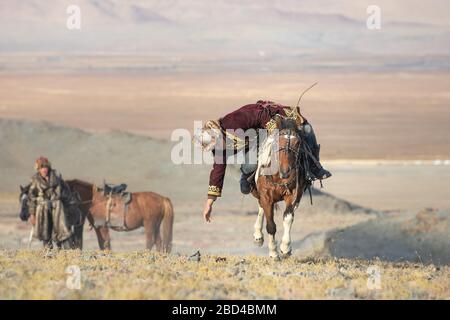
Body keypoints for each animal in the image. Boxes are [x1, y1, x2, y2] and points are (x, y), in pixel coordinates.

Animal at [251, 115, 308, 260]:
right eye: (278, 142)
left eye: (297, 143)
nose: (286, 171)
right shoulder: (266, 196)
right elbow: (271, 225)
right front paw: (273, 253)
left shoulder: (292, 195)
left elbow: (288, 218)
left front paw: (285, 248)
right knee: (261, 207)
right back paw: (258, 236)